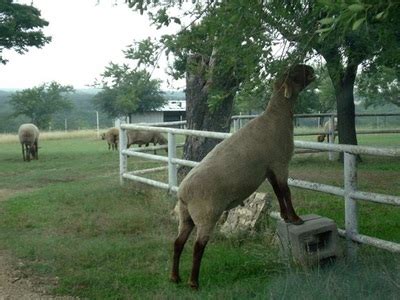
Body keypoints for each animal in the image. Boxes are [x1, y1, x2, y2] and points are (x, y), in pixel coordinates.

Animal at [172, 64, 316, 290]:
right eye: (295, 73)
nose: (311, 69)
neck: (276, 117)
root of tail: (183, 193)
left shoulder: (269, 169)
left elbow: (278, 191)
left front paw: (285, 216)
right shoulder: (280, 163)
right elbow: (286, 191)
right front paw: (295, 219)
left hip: (186, 216)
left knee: (178, 243)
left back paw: (175, 277)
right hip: (207, 213)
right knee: (197, 246)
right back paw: (193, 282)